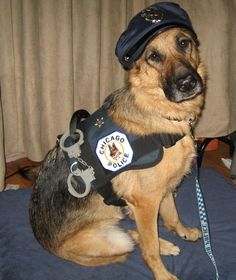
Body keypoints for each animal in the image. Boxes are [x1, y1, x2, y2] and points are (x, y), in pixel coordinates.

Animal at [29, 26, 206, 280]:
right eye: (153, 56)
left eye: (184, 43)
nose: (187, 83)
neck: (159, 112)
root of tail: (49, 246)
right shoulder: (146, 203)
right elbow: (149, 248)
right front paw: (161, 274)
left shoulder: (165, 189)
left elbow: (172, 216)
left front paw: (181, 231)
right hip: (113, 239)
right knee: (134, 239)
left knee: (134, 233)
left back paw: (165, 243)